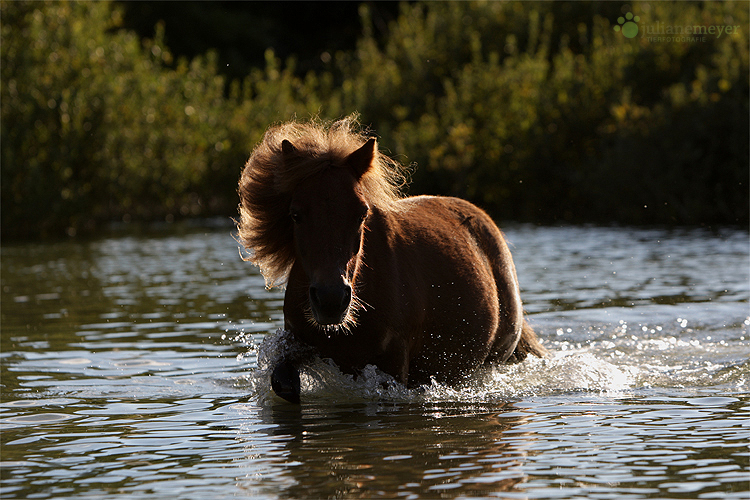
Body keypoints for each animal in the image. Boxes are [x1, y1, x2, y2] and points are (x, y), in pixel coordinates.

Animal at [238, 117, 544, 402]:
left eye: (361, 213)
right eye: (295, 214)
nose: (331, 299)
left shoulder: (393, 368)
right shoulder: (299, 345)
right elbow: (284, 382)